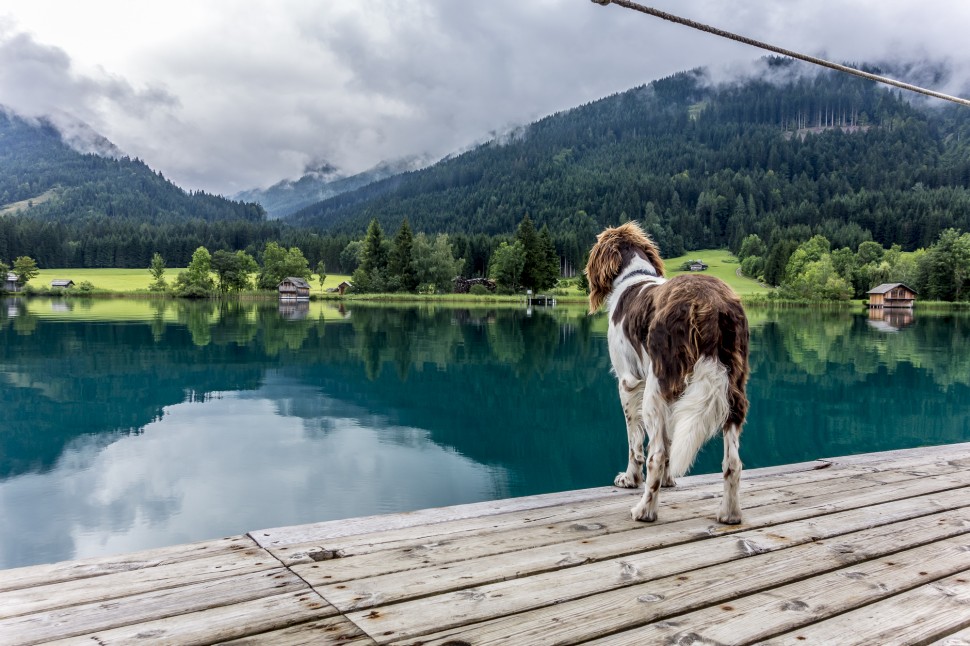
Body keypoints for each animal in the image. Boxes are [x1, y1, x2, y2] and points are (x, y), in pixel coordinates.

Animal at [584, 223, 748, 528]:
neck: (633, 276)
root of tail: (710, 305)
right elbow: (672, 441)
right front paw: (670, 481)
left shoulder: (628, 381)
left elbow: (634, 442)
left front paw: (630, 479)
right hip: (733, 388)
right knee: (733, 462)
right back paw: (729, 514)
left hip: (656, 388)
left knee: (656, 454)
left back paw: (645, 510)